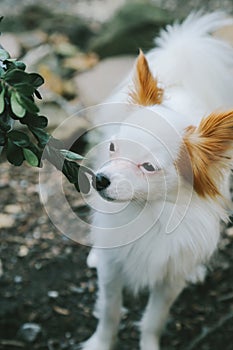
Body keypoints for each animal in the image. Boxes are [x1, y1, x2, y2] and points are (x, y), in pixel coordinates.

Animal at [81, 11, 233, 350]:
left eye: (148, 167)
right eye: (114, 148)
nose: (101, 180)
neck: (148, 210)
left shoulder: (168, 281)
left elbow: (154, 319)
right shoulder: (112, 270)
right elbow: (109, 310)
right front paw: (100, 343)